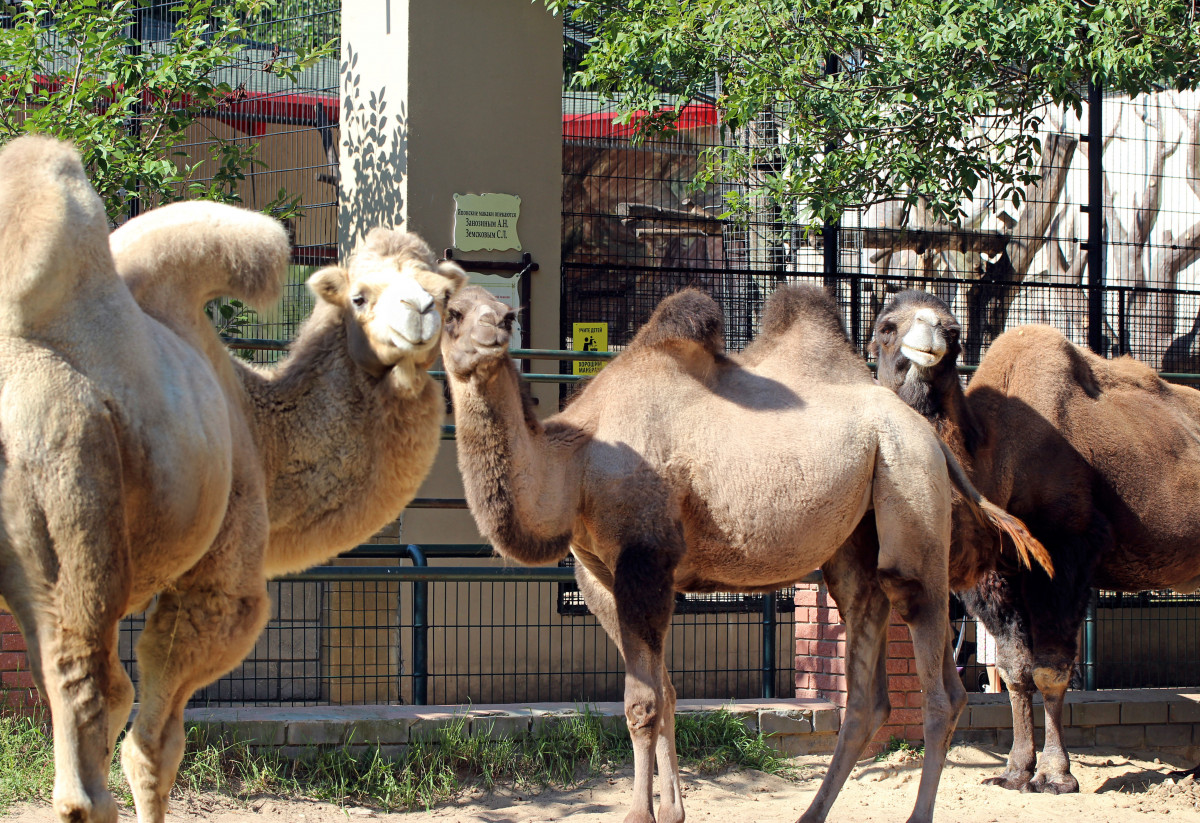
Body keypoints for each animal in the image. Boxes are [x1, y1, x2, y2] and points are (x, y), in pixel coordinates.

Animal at [0, 136, 463, 823]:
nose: (421, 313)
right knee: (88, 704)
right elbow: (153, 747)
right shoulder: (218, 583)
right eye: (359, 295)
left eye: (441, 292)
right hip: (68, 462)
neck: (254, 417)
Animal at [441, 285, 1051, 823]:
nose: (495, 328)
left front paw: (639, 814)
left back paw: (916, 812)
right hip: (858, 538)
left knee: (937, 677)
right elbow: (665, 693)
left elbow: (642, 704)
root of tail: (932, 438)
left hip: (910, 488)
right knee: (867, 684)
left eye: (506, 312)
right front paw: (673, 811)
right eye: (449, 310)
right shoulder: (600, 578)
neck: (578, 462)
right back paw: (810, 813)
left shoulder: (645, 560)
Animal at [868, 291, 1200, 801]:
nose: (930, 333)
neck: (994, 458)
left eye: (954, 331)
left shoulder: (1065, 550)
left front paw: (1056, 776)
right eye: (886, 327)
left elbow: (1050, 669)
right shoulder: (993, 574)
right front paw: (1014, 771)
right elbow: (1014, 669)